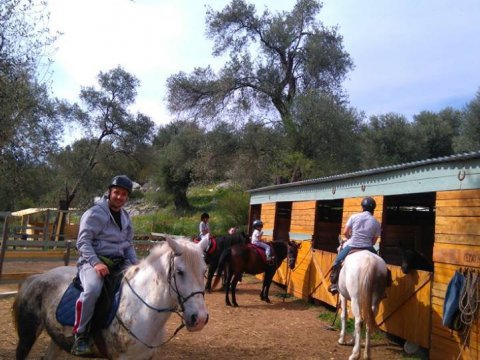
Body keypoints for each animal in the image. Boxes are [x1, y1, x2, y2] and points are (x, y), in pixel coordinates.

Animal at [12, 238, 208, 358]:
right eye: (179, 272)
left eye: (205, 271)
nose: (199, 318)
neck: (141, 310)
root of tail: (34, 278)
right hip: (27, 335)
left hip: (57, 340)